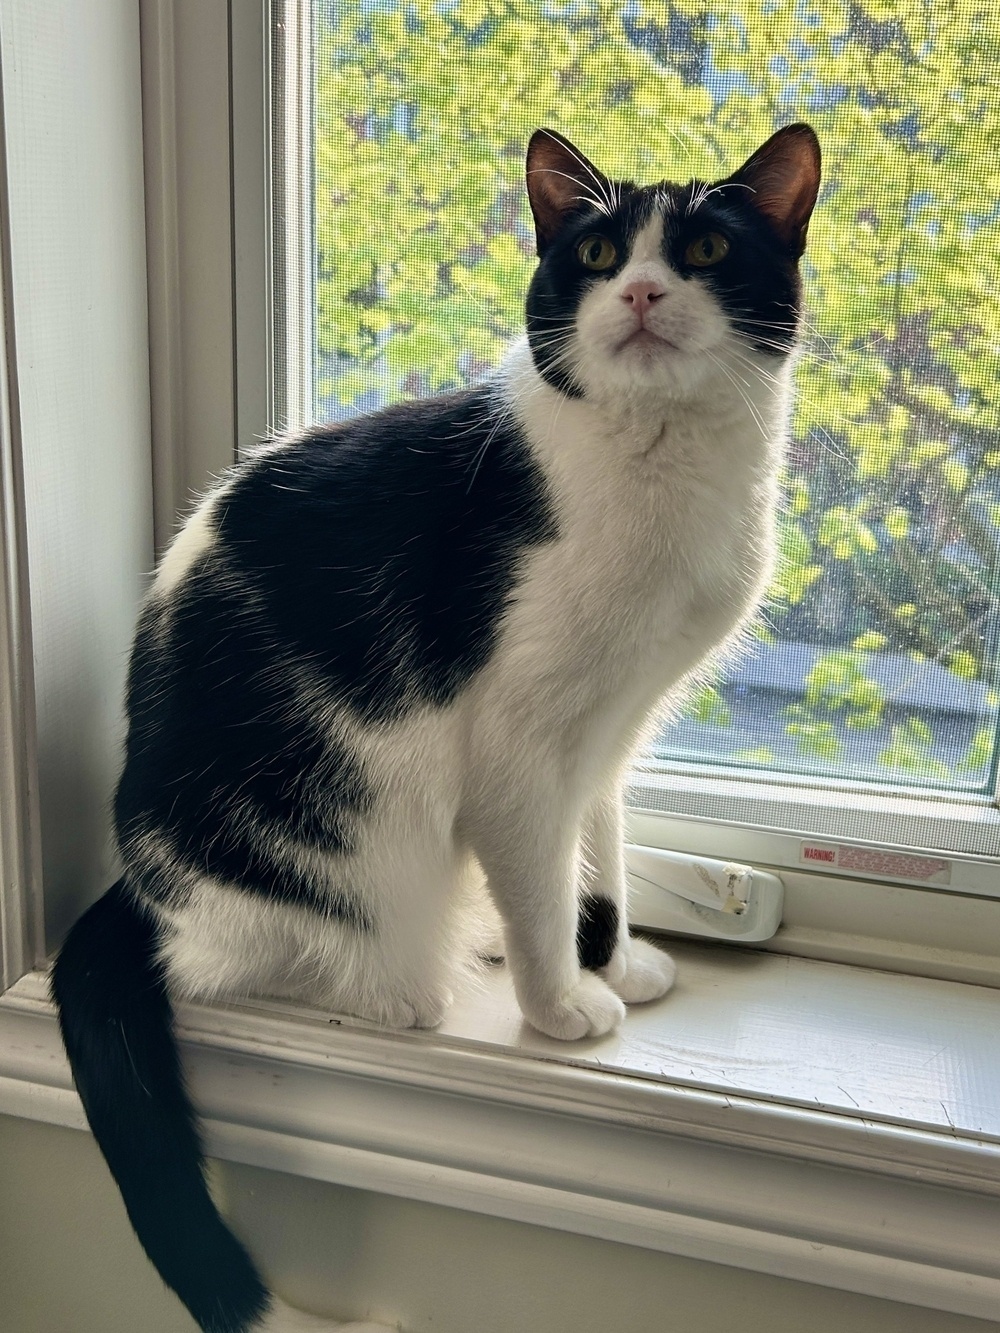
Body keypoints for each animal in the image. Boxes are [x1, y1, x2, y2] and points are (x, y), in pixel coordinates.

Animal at [49, 125, 821, 1333]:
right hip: (335, 852)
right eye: (597, 252)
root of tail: (136, 884)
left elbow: (596, 862)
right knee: (245, 958)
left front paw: (613, 957)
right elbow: (543, 874)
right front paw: (561, 1006)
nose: (643, 292)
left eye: (703, 247)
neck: (653, 459)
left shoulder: (608, 735)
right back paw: (403, 981)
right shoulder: (518, 741)